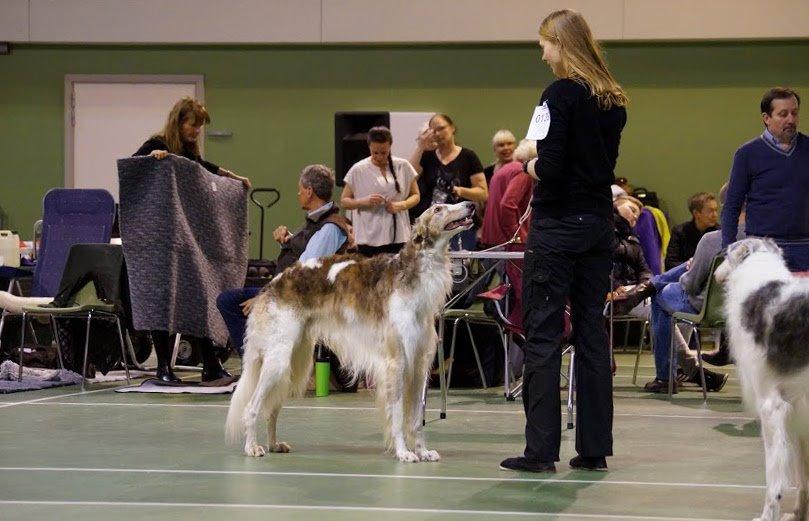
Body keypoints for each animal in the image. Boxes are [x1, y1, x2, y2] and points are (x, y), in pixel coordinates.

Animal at [224, 201, 476, 462]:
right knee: (252, 407)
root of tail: (272, 284)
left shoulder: (419, 365)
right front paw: (403, 452)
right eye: (438, 209)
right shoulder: (397, 362)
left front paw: (422, 451)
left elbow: (416, 419)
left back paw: (274, 444)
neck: (414, 273)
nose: (470, 205)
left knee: (271, 409)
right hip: (277, 361)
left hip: (294, 362)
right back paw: (252, 447)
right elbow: (397, 415)